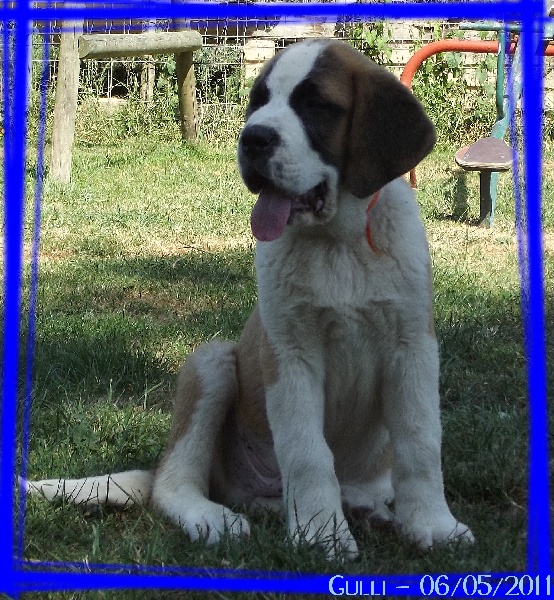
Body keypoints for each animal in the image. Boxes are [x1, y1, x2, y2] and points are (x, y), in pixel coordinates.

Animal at [26, 39, 474, 559]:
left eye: (316, 105)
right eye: (258, 101)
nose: (253, 139)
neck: (337, 242)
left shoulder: (413, 347)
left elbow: (420, 442)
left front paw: (433, 526)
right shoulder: (291, 355)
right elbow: (306, 452)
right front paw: (321, 535)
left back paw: (364, 507)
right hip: (211, 361)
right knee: (173, 484)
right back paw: (215, 518)